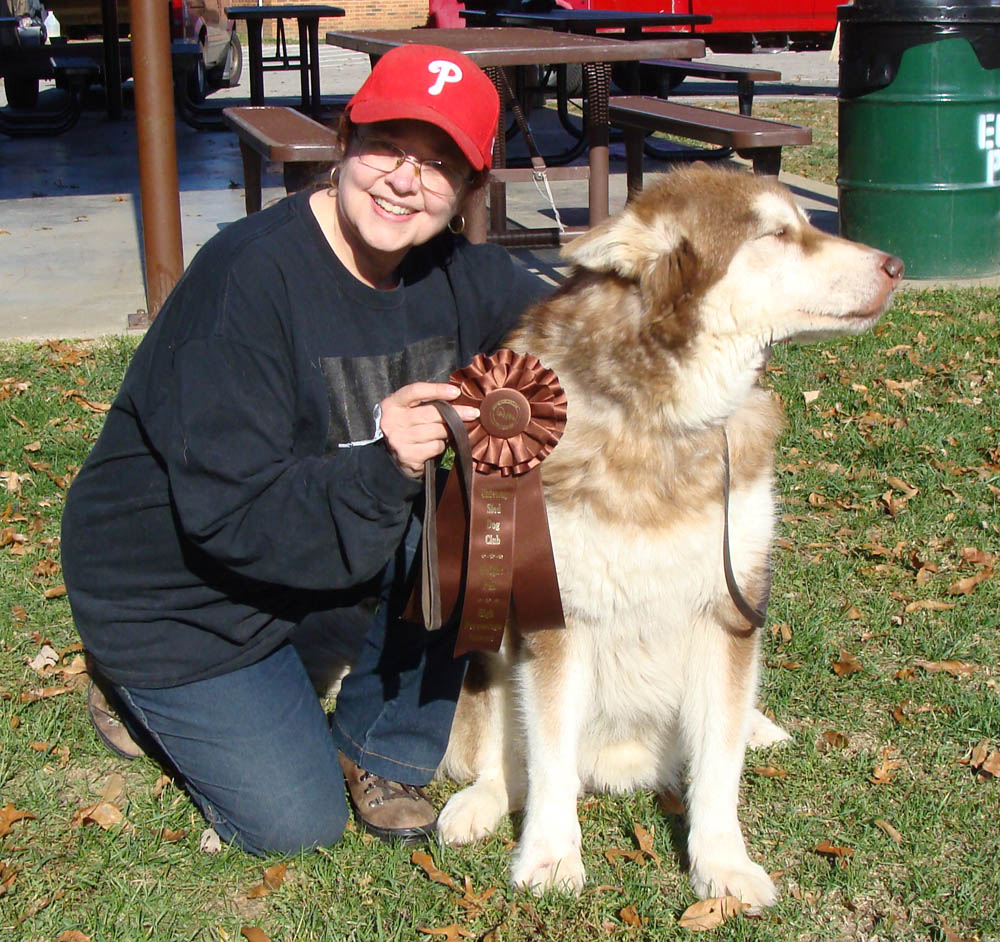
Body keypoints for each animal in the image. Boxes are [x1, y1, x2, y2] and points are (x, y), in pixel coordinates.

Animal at [434, 166, 904, 912]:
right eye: (777, 234)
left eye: (805, 224)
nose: (897, 266)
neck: (665, 426)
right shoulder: (553, 614)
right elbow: (547, 758)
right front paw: (549, 855)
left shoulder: (731, 608)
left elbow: (718, 766)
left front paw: (722, 863)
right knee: (507, 755)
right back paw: (480, 801)